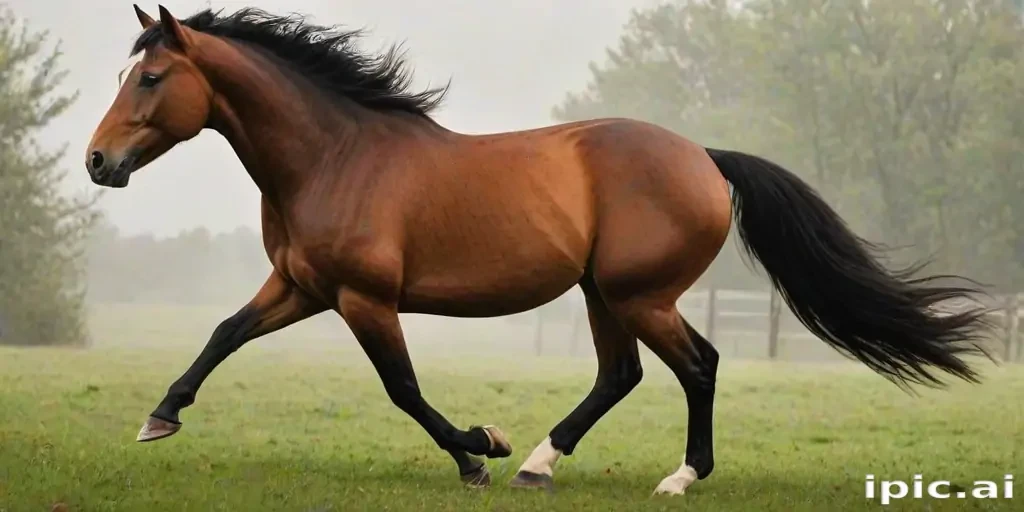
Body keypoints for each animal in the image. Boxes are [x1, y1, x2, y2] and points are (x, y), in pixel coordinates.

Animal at [86, 5, 992, 496]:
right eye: (129, 77)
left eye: (152, 80)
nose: (97, 162)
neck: (335, 154)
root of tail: (703, 157)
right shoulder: (303, 287)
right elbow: (224, 334)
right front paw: (160, 417)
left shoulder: (362, 298)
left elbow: (403, 389)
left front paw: (477, 453)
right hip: (602, 295)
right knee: (621, 375)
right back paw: (542, 464)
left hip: (638, 294)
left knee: (696, 366)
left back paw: (673, 476)